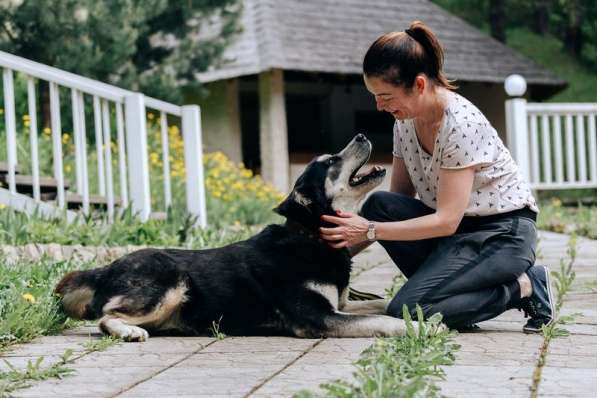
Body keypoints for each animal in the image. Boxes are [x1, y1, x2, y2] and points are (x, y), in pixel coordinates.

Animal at [53, 135, 412, 340]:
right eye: (331, 161)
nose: (362, 134)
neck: (311, 236)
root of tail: (104, 270)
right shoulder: (319, 318)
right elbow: (382, 319)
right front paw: (417, 327)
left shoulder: (341, 305)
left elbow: (384, 304)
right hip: (171, 281)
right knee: (106, 317)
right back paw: (129, 331)